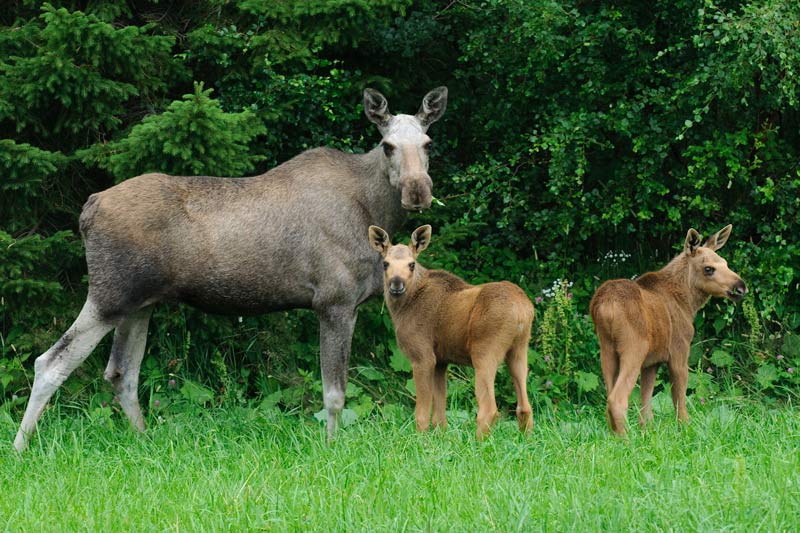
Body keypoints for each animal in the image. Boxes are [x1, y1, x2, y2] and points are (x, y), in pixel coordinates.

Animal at [12, 86, 446, 448]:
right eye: (387, 145)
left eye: (428, 142)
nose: (418, 191)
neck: (374, 209)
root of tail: (87, 209)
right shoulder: (334, 302)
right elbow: (334, 395)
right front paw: (331, 447)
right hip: (109, 295)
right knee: (51, 362)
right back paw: (20, 449)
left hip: (139, 304)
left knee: (121, 373)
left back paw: (144, 441)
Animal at [368, 224, 532, 436]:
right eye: (385, 264)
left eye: (411, 264)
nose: (397, 284)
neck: (401, 309)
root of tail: (522, 310)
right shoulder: (441, 361)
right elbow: (440, 415)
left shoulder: (423, 357)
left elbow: (422, 414)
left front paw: (420, 440)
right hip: (519, 350)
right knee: (525, 407)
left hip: (485, 351)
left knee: (489, 409)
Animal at [588, 222, 752, 434]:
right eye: (708, 268)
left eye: (725, 263)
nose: (740, 287)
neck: (688, 303)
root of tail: (605, 306)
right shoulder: (679, 352)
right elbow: (679, 399)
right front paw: (686, 430)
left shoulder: (651, 363)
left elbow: (646, 402)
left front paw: (647, 432)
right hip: (633, 348)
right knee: (617, 399)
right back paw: (626, 439)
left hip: (606, 350)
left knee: (608, 397)